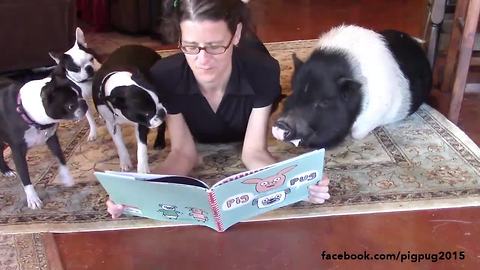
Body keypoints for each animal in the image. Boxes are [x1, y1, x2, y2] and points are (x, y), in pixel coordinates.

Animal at [0, 67, 87, 209]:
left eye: (80, 92)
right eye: (70, 106)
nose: (84, 103)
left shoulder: (52, 138)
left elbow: (61, 157)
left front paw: (67, 178)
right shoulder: (17, 152)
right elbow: (25, 177)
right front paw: (33, 199)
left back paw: (6, 170)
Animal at [92, 44, 167, 173]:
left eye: (159, 100)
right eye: (146, 113)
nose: (161, 112)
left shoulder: (141, 124)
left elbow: (141, 147)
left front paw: (142, 169)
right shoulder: (111, 123)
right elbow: (119, 144)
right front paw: (125, 162)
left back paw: (159, 142)